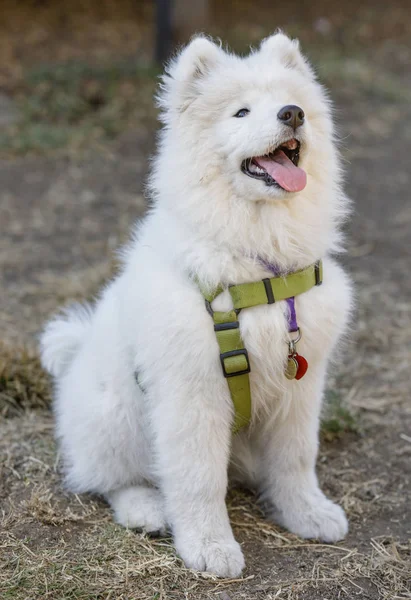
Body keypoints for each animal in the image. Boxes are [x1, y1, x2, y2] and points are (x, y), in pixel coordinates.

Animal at [41, 32, 354, 576]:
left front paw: (308, 514)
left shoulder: (300, 384)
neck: (257, 266)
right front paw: (210, 548)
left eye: (290, 103)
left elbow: (296, 458)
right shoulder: (193, 392)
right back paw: (146, 508)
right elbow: (197, 479)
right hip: (115, 416)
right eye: (241, 112)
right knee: (109, 480)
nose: (292, 114)